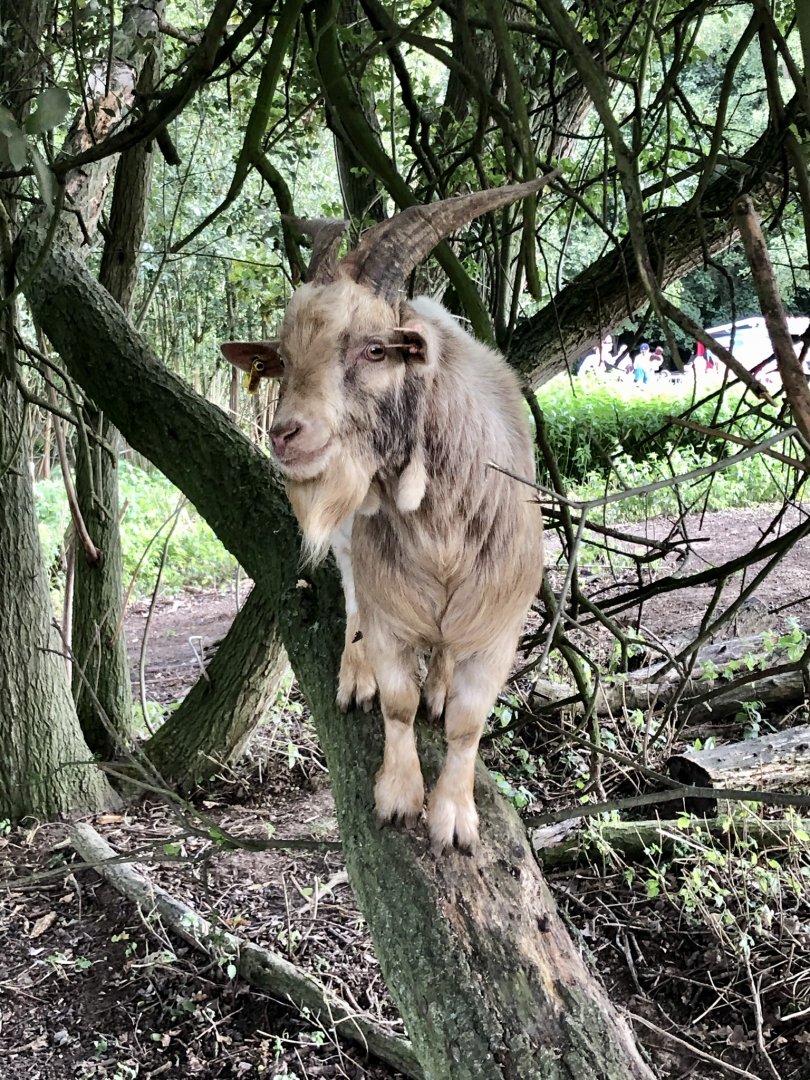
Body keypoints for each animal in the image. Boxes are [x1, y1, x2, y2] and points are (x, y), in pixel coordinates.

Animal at [221, 177, 551, 851]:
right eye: (284, 358)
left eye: (375, 350)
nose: (287, 434)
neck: (443, 535)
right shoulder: (390, 612)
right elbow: (397, 702)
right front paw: (399, 799)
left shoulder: (498, 628)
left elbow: (467, 724)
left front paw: (455, 819)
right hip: (352, 544)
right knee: (351, 595)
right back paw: (355, 674)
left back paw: (438, 685)